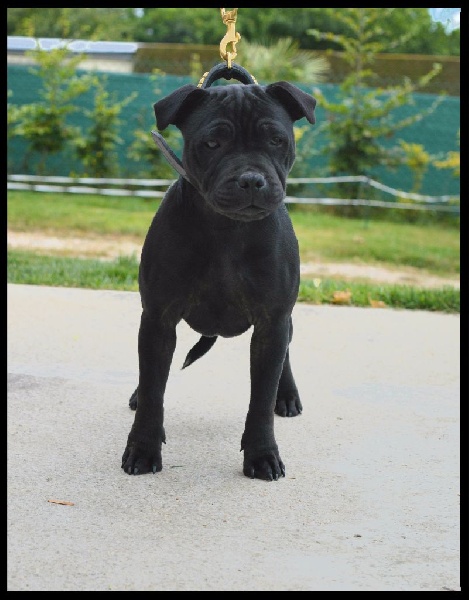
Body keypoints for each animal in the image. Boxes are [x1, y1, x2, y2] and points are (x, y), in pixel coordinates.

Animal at [122, 81, 316, 482]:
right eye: (212, 143)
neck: (227, 230)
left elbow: (260, 399)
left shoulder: (272, 322)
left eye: (276, 140)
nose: (251, 180)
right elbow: (153, 390)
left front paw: (262, 454)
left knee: (286, 355)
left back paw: (287, 396)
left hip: (285, 323)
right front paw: (143, 448)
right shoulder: (158, 319)